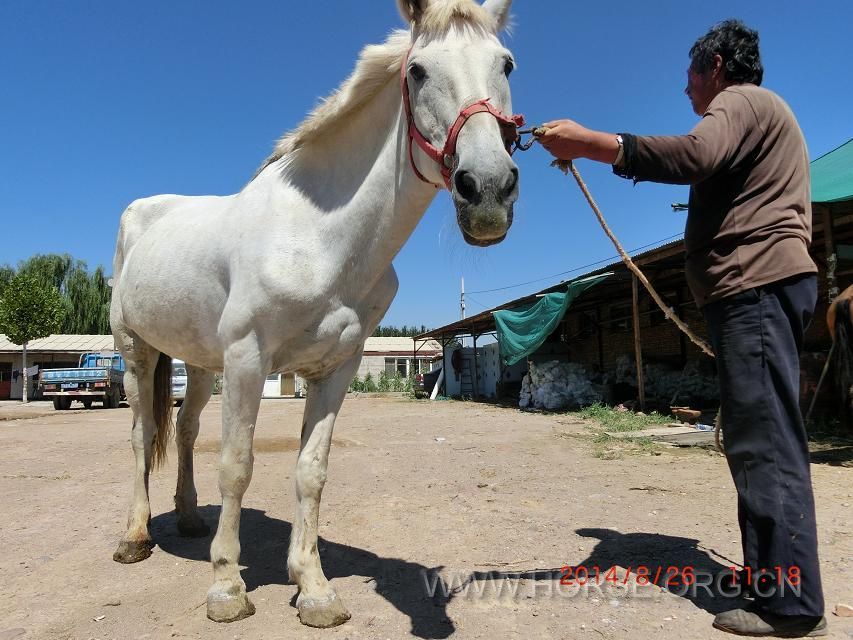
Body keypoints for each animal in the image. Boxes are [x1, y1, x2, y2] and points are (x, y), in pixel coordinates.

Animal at [106, 0, 520, 632]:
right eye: (418, 70)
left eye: (507, 63)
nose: (489, 191)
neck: (319, 237)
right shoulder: (248, 360)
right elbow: (238, 465)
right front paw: (226, 587)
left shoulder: (336, 369)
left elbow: (311, 471)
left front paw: (314, 589)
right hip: (138, 352)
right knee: (142, 434)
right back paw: (134, 537)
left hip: (199, 365)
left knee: (186, 429)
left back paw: (190, 519)